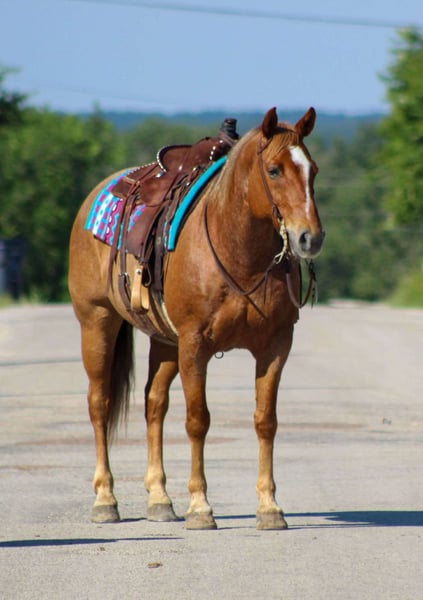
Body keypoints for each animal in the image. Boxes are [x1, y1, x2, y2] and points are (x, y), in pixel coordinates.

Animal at [68, 107, 324, 530]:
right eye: (273, 170)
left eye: (313, 170)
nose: (310, 238)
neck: (238, 252)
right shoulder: (194, 344)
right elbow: (197, 420)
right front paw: (200, 506)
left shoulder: (275, 346)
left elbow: (265, 420)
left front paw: (269, 506)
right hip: (97, 322)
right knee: (99, 403)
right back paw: (105, 499)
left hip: (164, 341)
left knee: (154, 403)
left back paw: (159, 498)